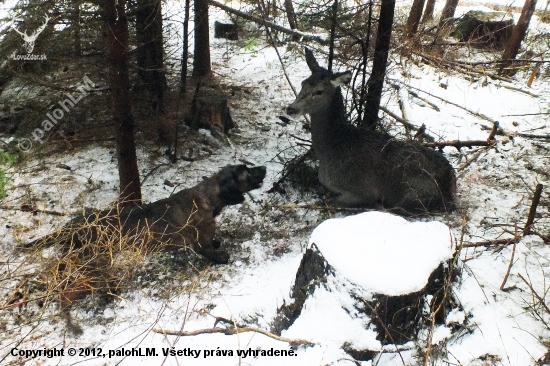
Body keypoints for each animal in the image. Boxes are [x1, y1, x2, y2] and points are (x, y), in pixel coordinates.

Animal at [284, 48, 458, 214]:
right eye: (303, 83)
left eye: (319, 91)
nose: (291, 108)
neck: (332, 148)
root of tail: (451, 181)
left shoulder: (362, 189)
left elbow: (328, 201)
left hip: (415, 193)